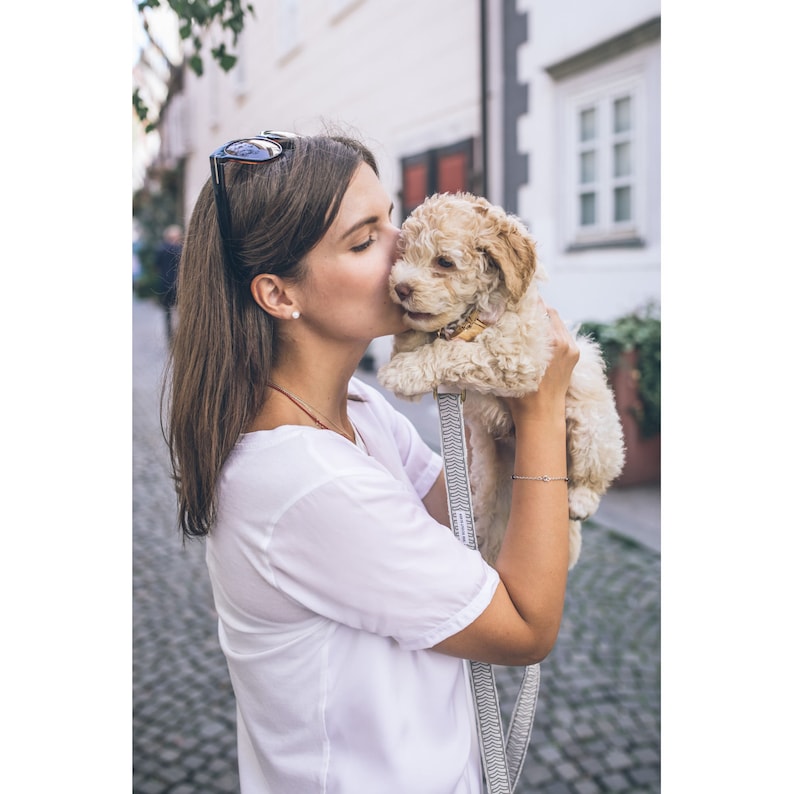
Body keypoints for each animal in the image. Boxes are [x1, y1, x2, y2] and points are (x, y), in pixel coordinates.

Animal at [378, 192, 624, 568]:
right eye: (402, 253)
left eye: (444, 262)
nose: (400, 288)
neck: (472, 317)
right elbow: (423, 338)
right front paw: (405, 343)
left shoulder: (517, 356)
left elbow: (453, 352)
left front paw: (402, 371)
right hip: (491, 459)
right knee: (488, 500)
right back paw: (476, 525)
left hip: (595, 431)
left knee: (595, 472)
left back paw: (580, 499)